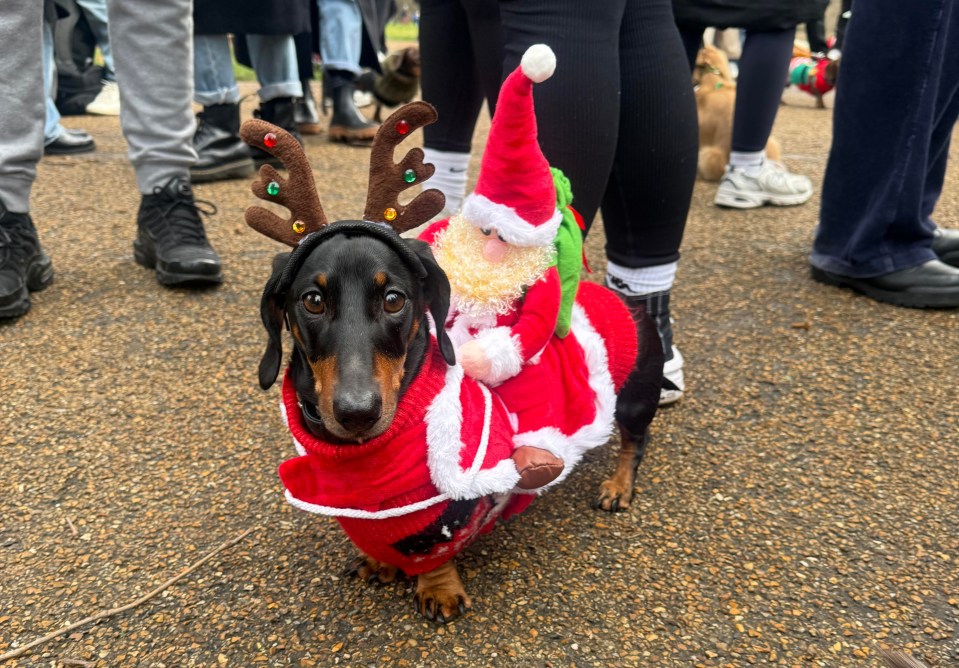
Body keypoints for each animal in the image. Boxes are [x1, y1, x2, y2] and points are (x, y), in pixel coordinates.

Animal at [244, 103, 660, 620]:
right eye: (313, 300)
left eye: (395, 299)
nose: (358, 413)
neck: (363, 459)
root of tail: (627, 299)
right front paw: (377, 562)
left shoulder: (448, 515)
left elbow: (435, 552)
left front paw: (438, 588)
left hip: (636, 399)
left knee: (634, 442)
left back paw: (618, 485)